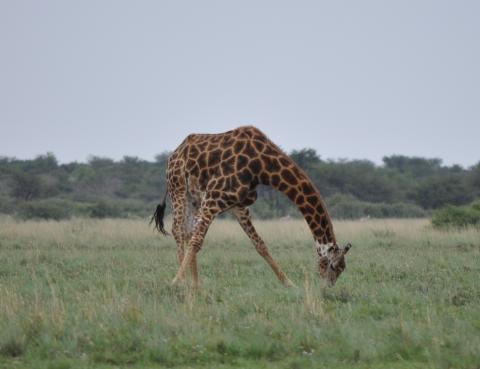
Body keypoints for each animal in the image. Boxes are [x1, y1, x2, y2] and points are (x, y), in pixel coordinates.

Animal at [151, 125, 352, 286]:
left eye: (342, 268)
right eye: (333, 266)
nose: (328, 287)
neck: (262, 167)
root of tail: (172, 155)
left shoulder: (238, 205)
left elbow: (260, 244)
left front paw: (289, 283)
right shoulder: (214, 197)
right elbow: (197, 240)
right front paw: (175, 282)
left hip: (193, 198)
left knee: (186, 231)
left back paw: (195, 283)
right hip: (178, 188)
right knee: (178, 230)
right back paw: (185, 283)